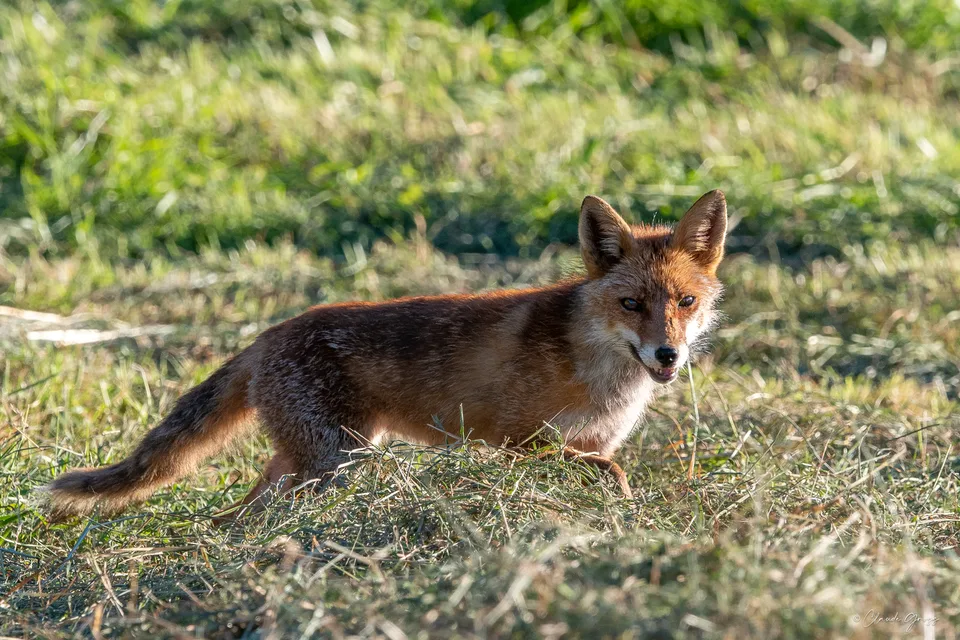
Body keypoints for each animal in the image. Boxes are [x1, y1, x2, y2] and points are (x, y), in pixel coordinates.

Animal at [45, 190, 727, 521]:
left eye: (686, 301)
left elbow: (608, 475)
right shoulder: (516, 441)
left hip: (317, 461)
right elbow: (614, 475)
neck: (596, 369)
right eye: (631, 303)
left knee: (238, 511)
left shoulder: (588, 444)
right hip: (332, 463)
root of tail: (267, 334)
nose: (667, 355)